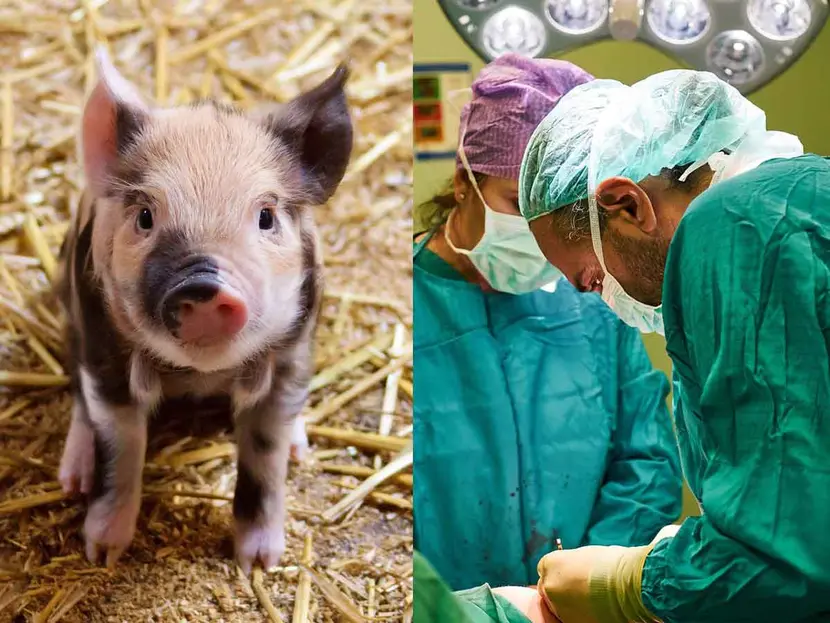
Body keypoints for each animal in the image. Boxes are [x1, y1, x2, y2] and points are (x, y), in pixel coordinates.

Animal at [54, 49, 353, 572]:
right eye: (145, 216)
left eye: (266, 217)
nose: (204, 285)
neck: (199, 376)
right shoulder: (103, 349)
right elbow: (121, 447)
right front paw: (103, 554)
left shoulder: (292, 354)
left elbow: (265, 455)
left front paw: (260, 563)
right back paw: (72, 479)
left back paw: (302, 451)